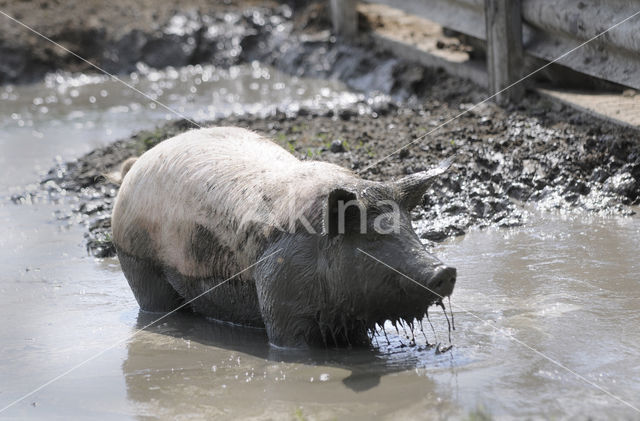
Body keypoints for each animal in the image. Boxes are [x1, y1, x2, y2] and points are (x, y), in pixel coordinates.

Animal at [114, 126, 456, 346]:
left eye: (410, 227)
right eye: (371, 237)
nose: (446, 270)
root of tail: (134, 166)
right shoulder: (280, 296)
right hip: (137, 263)